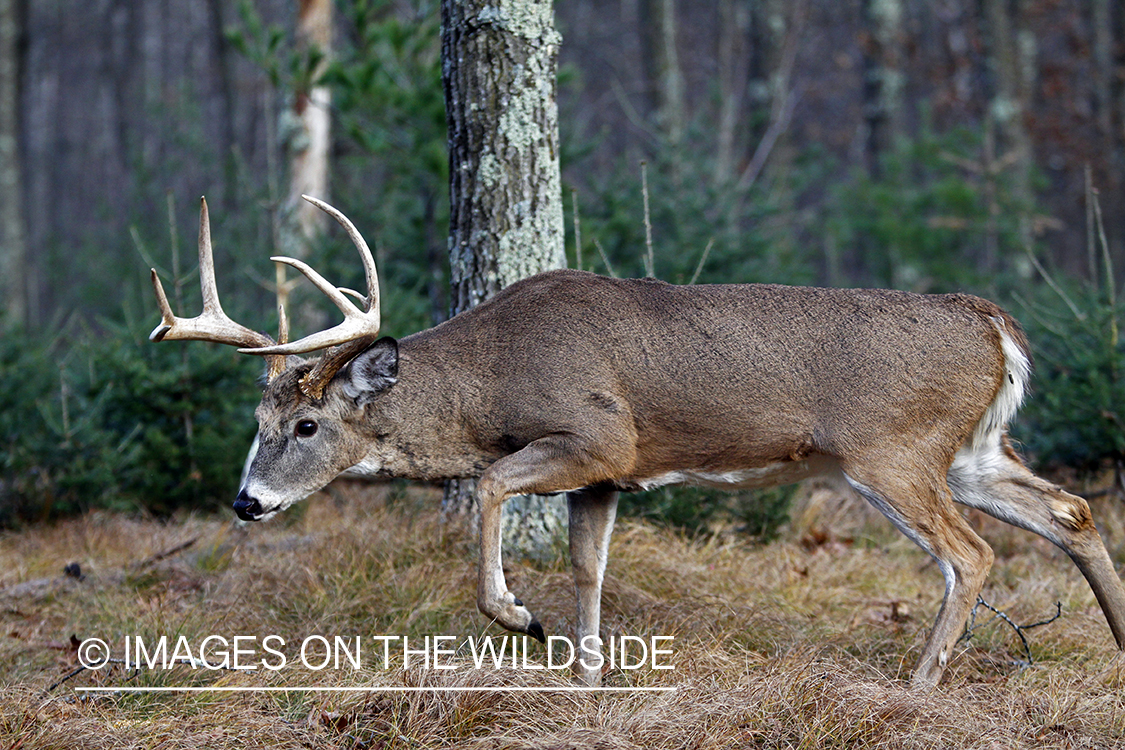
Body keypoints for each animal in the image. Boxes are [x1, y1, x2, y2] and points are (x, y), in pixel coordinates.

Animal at [149, 196, 1125, 688]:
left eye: (307, 425)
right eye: (257, 425)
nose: (246, 501)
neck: (492, 379)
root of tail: (991, 322)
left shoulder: (599, 437)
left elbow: (495, 487)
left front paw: (519, 618)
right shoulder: (605, 480)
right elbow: (589, 567)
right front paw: (585, 679)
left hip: (889, 448)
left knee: (972, 554)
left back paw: (916, 684)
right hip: (967, 449)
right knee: (1071, 510)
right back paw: (1115, 643)